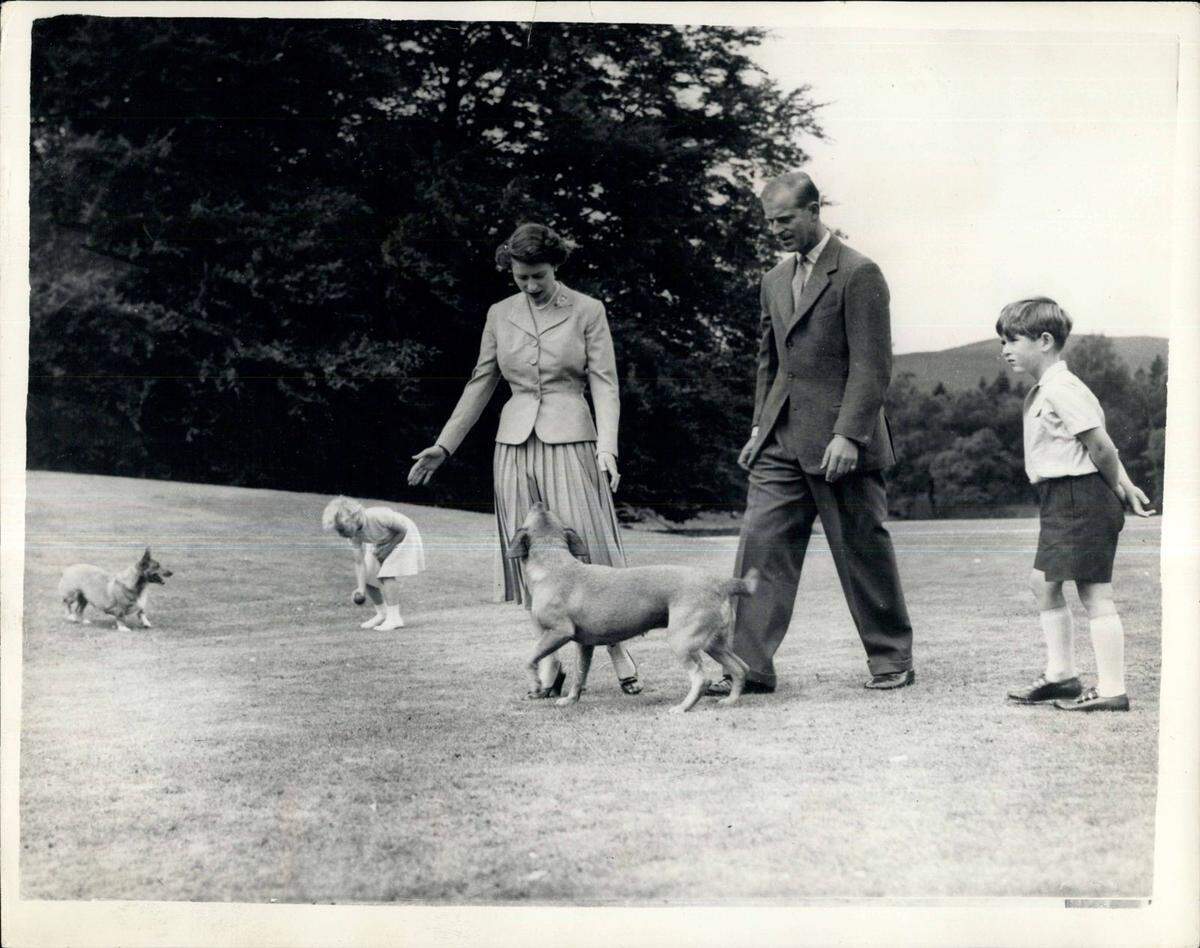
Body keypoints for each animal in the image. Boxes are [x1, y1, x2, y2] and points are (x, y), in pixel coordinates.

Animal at [508, 504, 758, 710]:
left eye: (533, 513)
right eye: (547, 513)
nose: (538, 502)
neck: (553, 563)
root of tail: (721, 582)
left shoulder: (558, 632)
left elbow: (530, 659)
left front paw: (536, 684)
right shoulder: (585, 645)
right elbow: (580, 674)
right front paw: (570, 699)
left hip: (682, 641)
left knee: (701, 678)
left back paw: (683, 707)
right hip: (714, 644)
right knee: (740, 668)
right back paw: (730, 700)